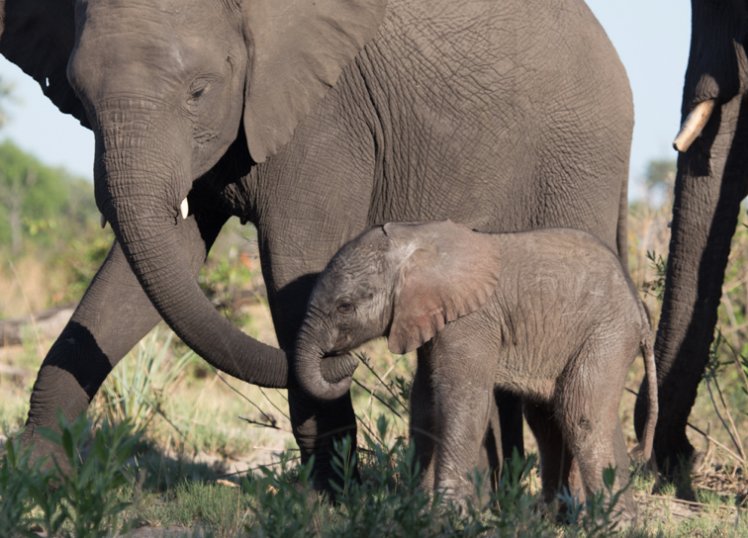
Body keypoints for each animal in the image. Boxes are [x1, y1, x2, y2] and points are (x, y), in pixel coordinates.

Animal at [0, 0, 632, 490]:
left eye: (198, 91)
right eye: (77, 93)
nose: (344, 359)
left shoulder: (326, 116)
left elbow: (292, 267)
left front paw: (332, 496)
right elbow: (145, 274)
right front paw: (35, 478)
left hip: (580, 159)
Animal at [294, 220, 658, 513]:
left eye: (345, 307)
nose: (341, 362)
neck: (414, 238)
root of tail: (640, 313)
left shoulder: (470, 320)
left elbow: (463, 402)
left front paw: (446, 514)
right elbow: (425, 404)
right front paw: (417, 509)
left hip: (607, 334)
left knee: (581, 413)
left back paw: (610, 524)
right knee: (555, 418)